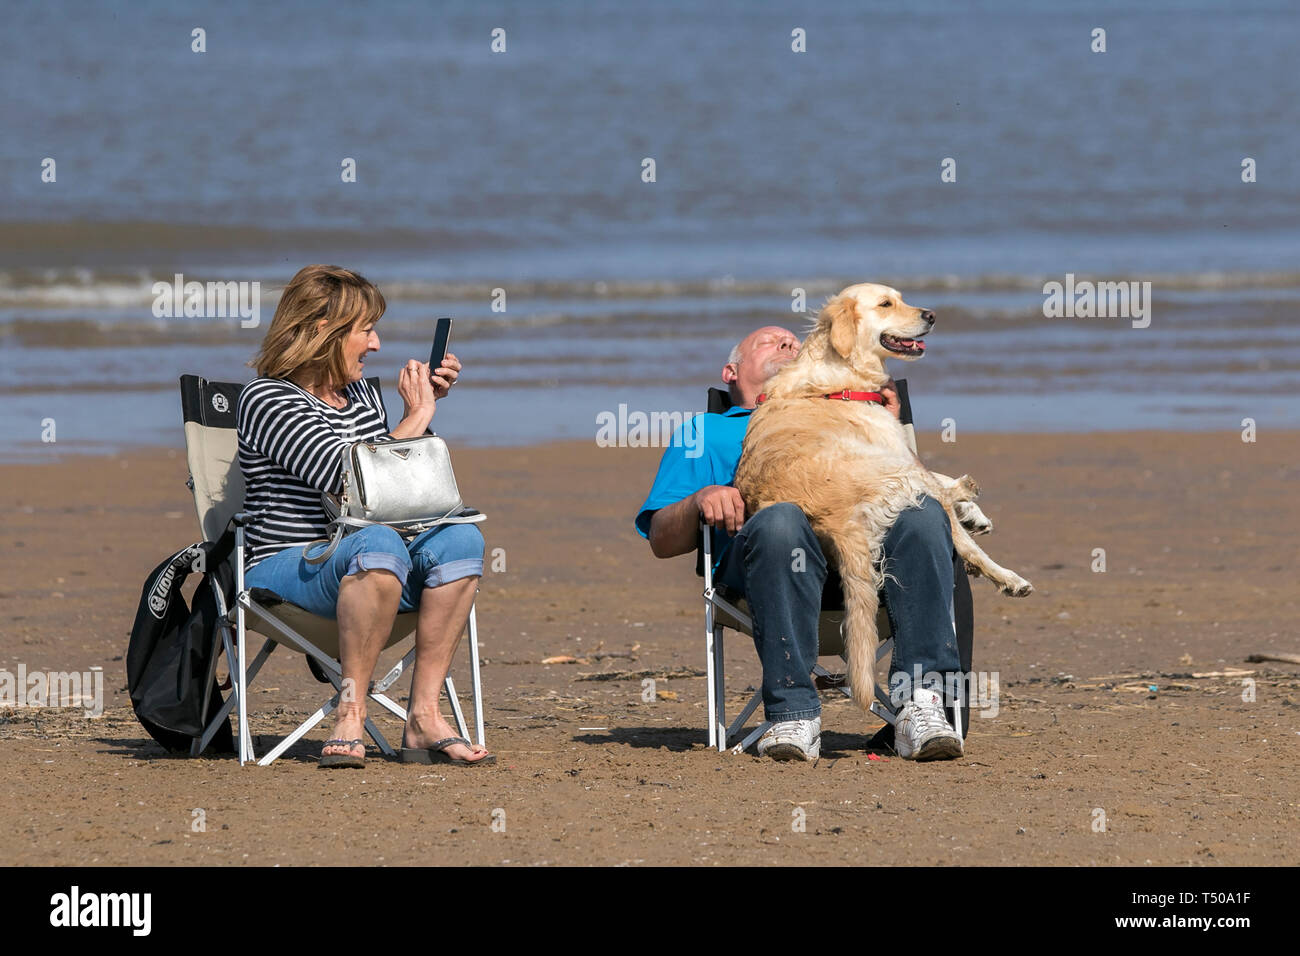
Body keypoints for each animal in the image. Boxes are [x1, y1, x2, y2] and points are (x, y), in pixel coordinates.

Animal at [738, 282, 1029, 712]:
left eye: (902, 298)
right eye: (886, 304)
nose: (932, 315)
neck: (841, 377)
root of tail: (839, 522)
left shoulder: (898, 451)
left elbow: (940, 475)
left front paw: (975, 514)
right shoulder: (897, 451)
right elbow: (940, 480)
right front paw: (969, 505)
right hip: (903, 479)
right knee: (959, 534)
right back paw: (1006, 573)